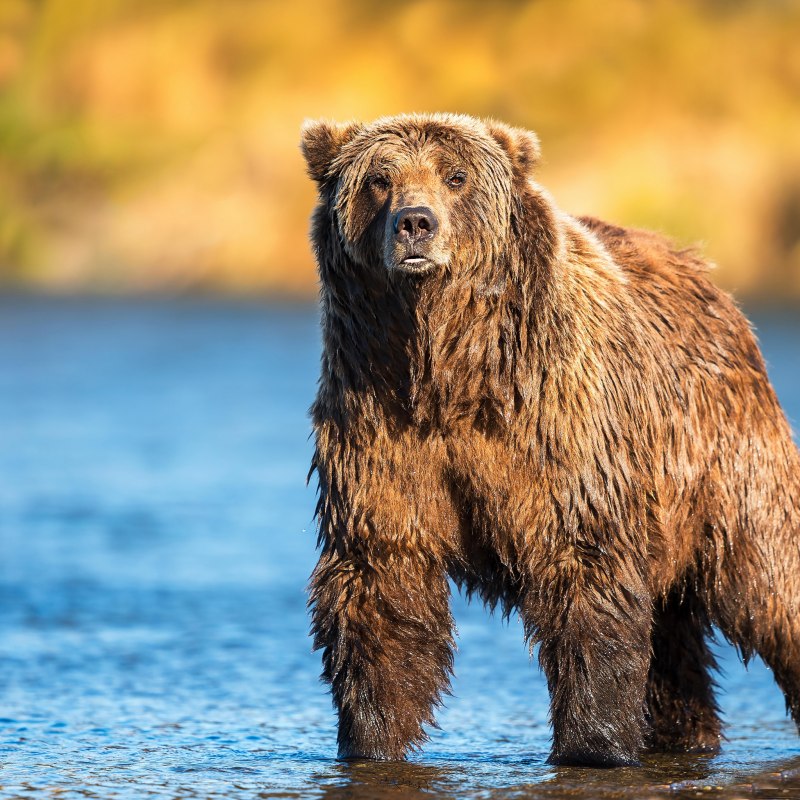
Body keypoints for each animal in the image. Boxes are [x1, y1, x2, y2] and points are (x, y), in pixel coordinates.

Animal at [300, 113, 800, 767]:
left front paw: (595, 743)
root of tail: (705, 273)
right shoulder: (379, 430)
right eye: (379, 180)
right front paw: (372, 737)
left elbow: (585, 573)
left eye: (456, 176)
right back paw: (683, 732)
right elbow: (380, 580)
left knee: (772, 576)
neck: (447, 368)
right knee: (674, 636)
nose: (415, 223)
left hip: (726, 458)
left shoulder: (560, 431)